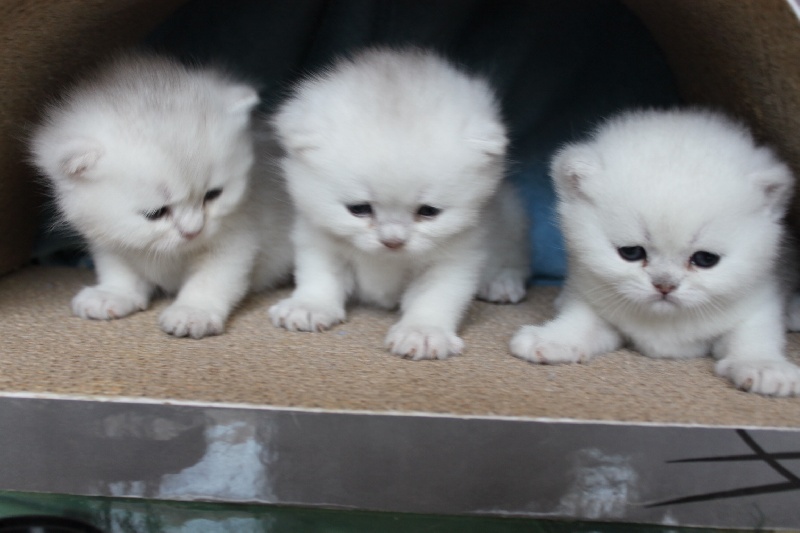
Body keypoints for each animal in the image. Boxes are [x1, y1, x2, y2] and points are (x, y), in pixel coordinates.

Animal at [31, 52, 296, 338]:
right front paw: (113, 294)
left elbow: (211, 279)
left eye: (213, 195)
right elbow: (120, 270)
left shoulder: (236, 237)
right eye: (156, 213)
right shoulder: (109, 238)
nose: (193, 232)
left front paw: (193, 312)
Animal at [268, 48, 532, 358]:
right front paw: (309, 305)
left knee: (518, 260)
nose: (392, 242)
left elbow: (435, 297)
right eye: (359, 209)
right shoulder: (318, 239)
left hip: (512, 216)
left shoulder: (456, 257)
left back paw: (502, 282)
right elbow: (320, 277)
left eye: (428, 212)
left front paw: (423, 331)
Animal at [512, 108, 800, 394]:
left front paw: (764, 366)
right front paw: (555, 338)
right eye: (631, 253)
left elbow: (753, 336)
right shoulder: (593, 298)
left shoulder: (758, 301)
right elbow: (581, 320)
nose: (664, 286)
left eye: (705, 259)